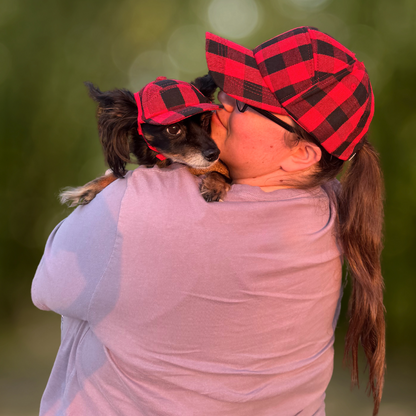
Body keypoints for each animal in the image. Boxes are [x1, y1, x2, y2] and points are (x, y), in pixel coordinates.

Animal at [59, 75, 231, 208]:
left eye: (205, 121)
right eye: (173, 129)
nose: (214, 154)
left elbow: (220, 173)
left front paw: (213, 186)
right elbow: (120, 174)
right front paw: (90, 187)